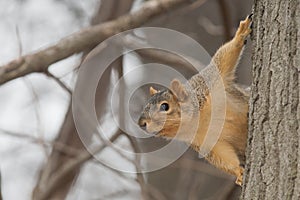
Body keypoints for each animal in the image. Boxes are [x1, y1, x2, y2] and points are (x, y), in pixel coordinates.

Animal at [138, 14, 253, 186]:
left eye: (165, 107)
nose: (141, 123)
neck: (197, 120)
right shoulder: (208, 142)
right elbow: (224, 158)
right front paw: (238, 172)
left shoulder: (209, 84)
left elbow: (222, 59)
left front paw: (241, 33)